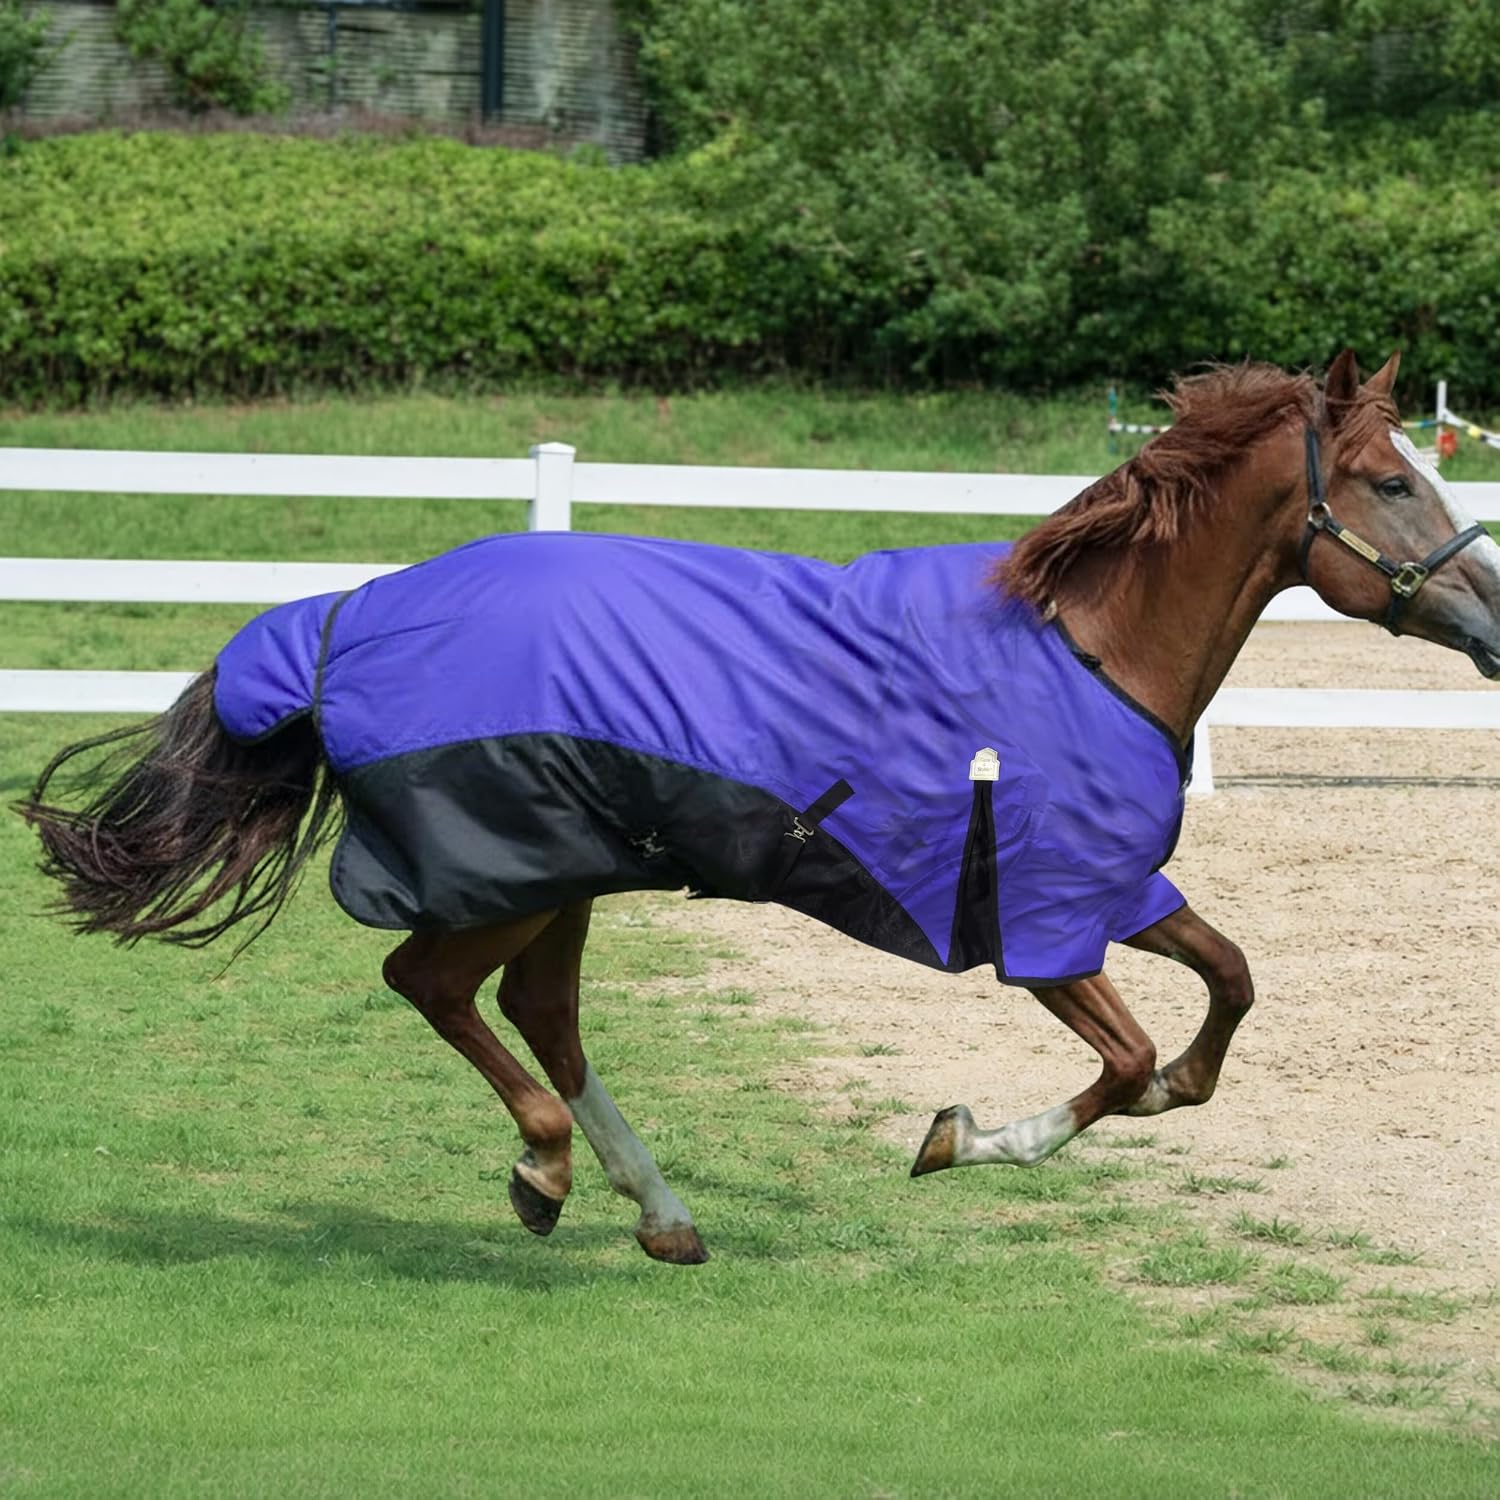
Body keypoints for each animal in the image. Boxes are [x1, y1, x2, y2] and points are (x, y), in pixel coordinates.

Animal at [17, 350, 1500, 1266]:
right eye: (1390, 480)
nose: (1490, 620)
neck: (1083, 651)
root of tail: (344, 619)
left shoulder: (1117, 890)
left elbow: (1228, 990)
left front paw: (1146, 1096)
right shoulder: (1044, 920)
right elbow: (1130, 1061)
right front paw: (965, 1138)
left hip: (575, 870)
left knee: (535, 1009)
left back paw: (658, 1210)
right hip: (518, 868)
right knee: (433, 983)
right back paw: (547, 1176)